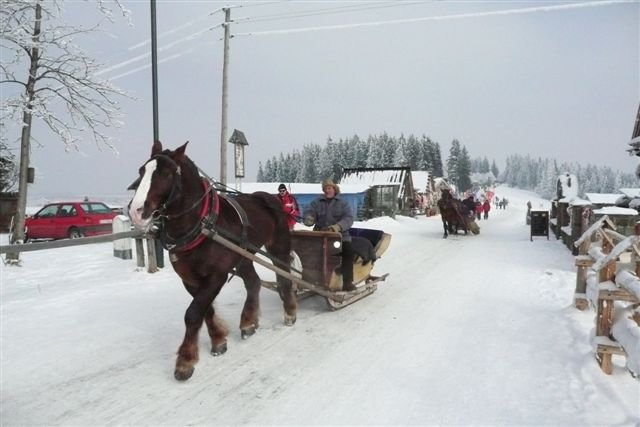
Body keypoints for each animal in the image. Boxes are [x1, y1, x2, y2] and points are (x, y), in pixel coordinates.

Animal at [128, 140, 298, 382]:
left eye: (166, 173)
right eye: (142, 171)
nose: (136, 211)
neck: (201, 223)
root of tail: (270, 198)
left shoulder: (217, 275)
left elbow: (193, 313)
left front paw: (185, 361)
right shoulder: (190, 279)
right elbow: (204, 309)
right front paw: (218, 340)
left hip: (279, 246)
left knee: (284, 279)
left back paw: (290, 312)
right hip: (243, 255)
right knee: (253, 282)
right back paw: (248, 321)